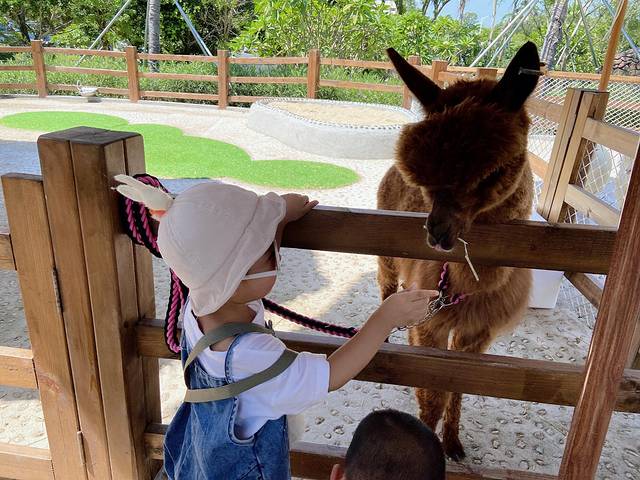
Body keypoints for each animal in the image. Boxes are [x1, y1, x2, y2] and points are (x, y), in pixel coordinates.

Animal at [377, 42, 540, 460]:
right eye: (422, 178)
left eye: (492, 172)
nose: (437, 235)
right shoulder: (432, 324)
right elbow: (433, 395)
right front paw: (423, 439)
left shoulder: (477, 330)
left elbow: (460, 386)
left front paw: (452, 443)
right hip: (386, 255)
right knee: (386, 286)